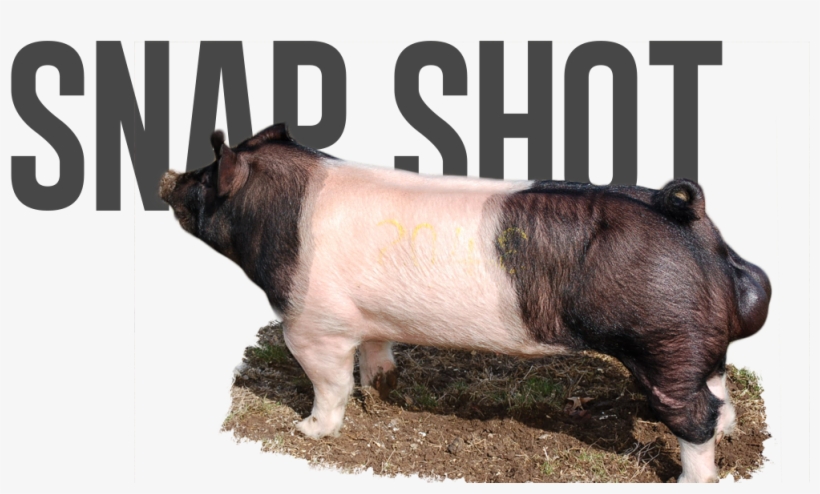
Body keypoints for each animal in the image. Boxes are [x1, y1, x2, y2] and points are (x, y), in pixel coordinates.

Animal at [159, 123, 771, 483]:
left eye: (206, 177)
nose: (168, 177)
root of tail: (688, 218)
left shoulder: (311, 325)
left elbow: (328, 386)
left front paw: (308, 431)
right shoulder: (366, 317)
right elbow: (376, 349)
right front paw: (381, 388)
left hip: (663, 342)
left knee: (695, 416)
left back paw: (687, 479)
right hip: (692, 347)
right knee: (718, 394)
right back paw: (732, 433)